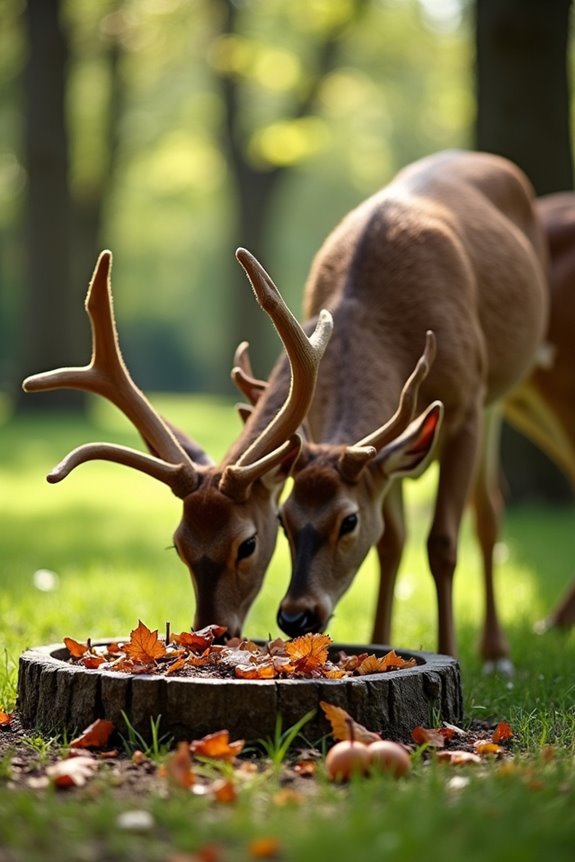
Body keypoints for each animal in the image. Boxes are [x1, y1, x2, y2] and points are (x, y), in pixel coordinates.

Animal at [253, 150, 549, 665]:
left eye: (348, 520)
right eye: (283, 518)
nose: (295, 616)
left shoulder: (466, 405)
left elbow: (443, 543)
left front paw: (451, 653)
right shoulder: (381, 461)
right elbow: (391, 543)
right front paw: (380, 640)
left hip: (499, 391)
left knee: (490, 511)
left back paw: (496, 651)